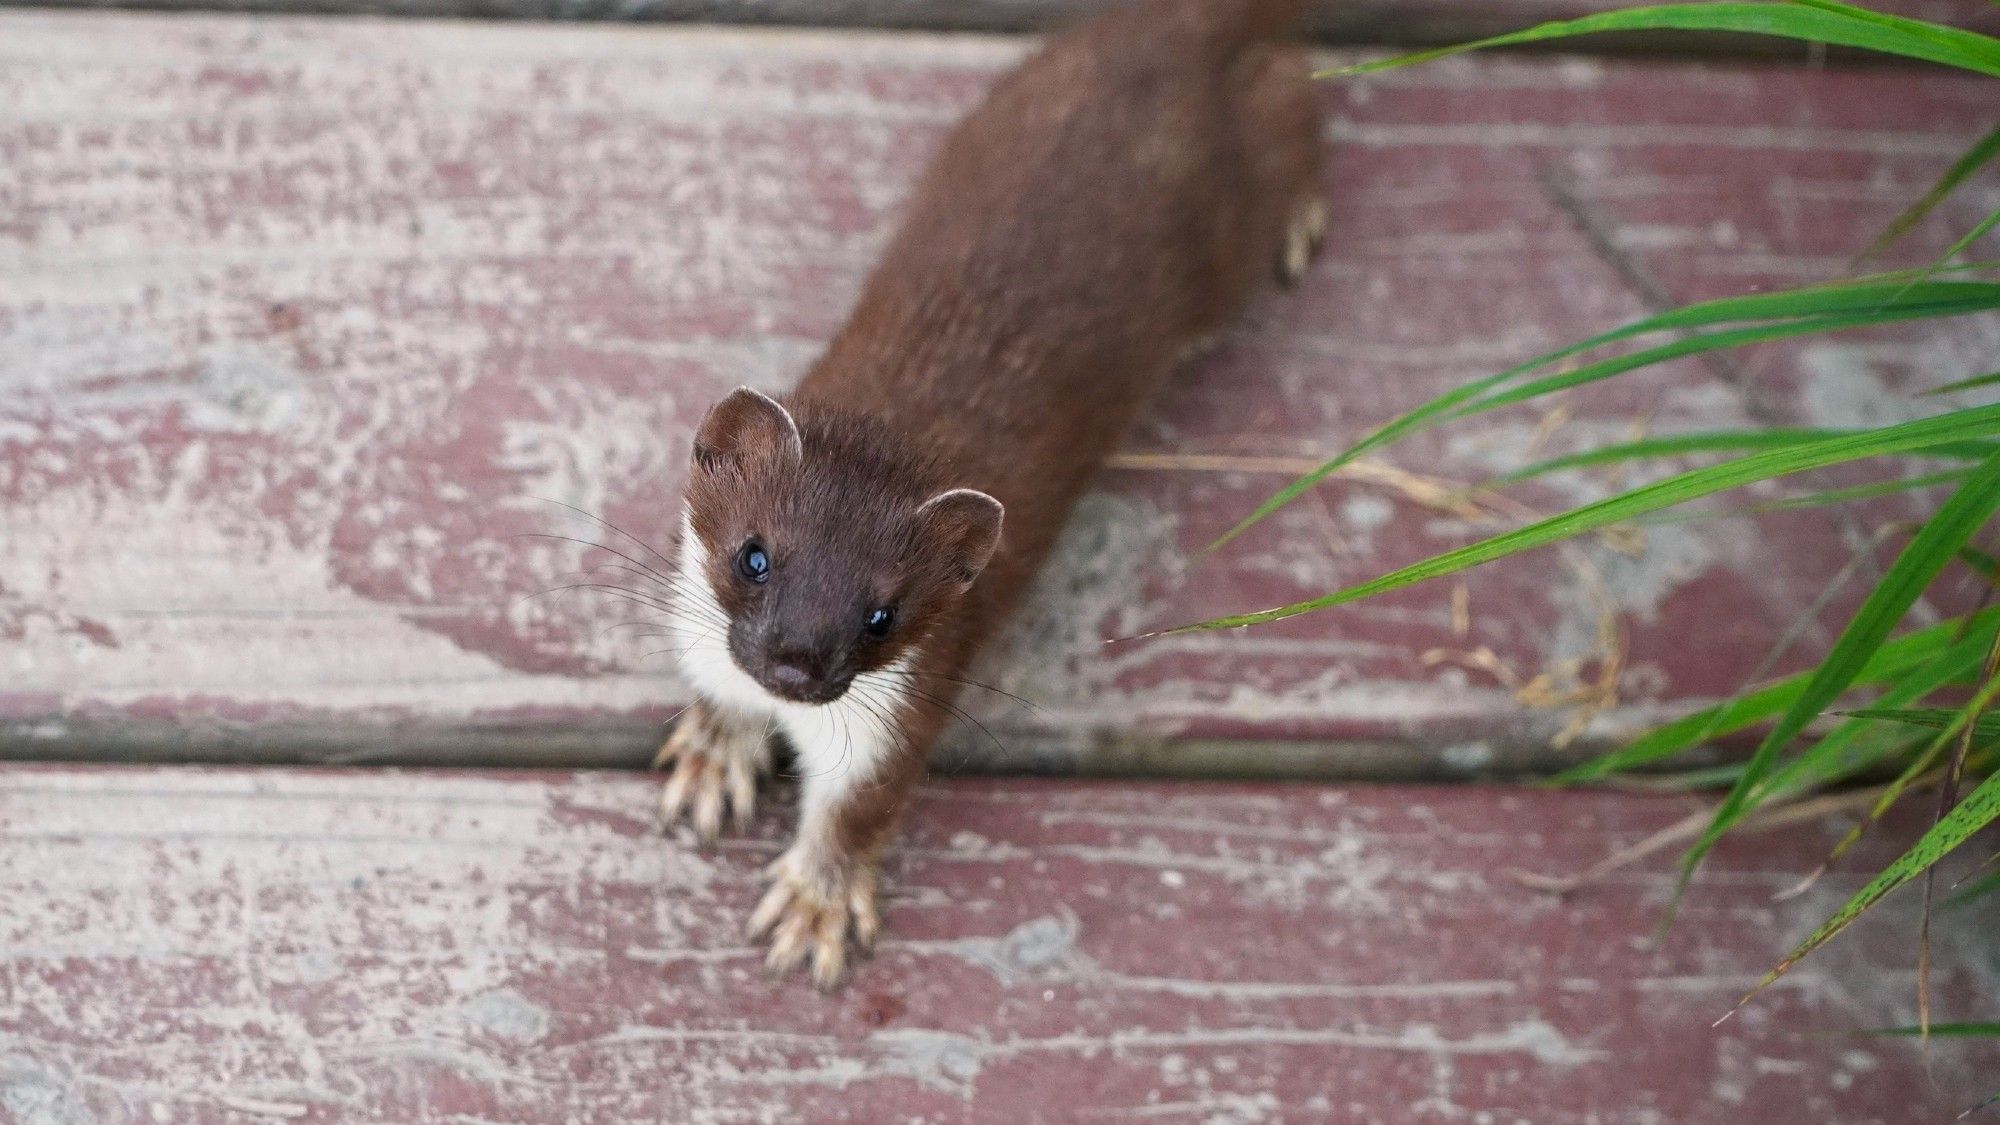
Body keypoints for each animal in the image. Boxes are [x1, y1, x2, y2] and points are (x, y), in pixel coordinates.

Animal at [656, 0, 1336, 984]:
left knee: (1299, 107)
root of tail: (1172, 30)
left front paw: (819, 906)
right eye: (754, 555)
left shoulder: (908, 705)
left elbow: (862, 807)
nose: (795, 662)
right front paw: (712, 755)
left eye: (884, 614)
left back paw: (1303, 219)